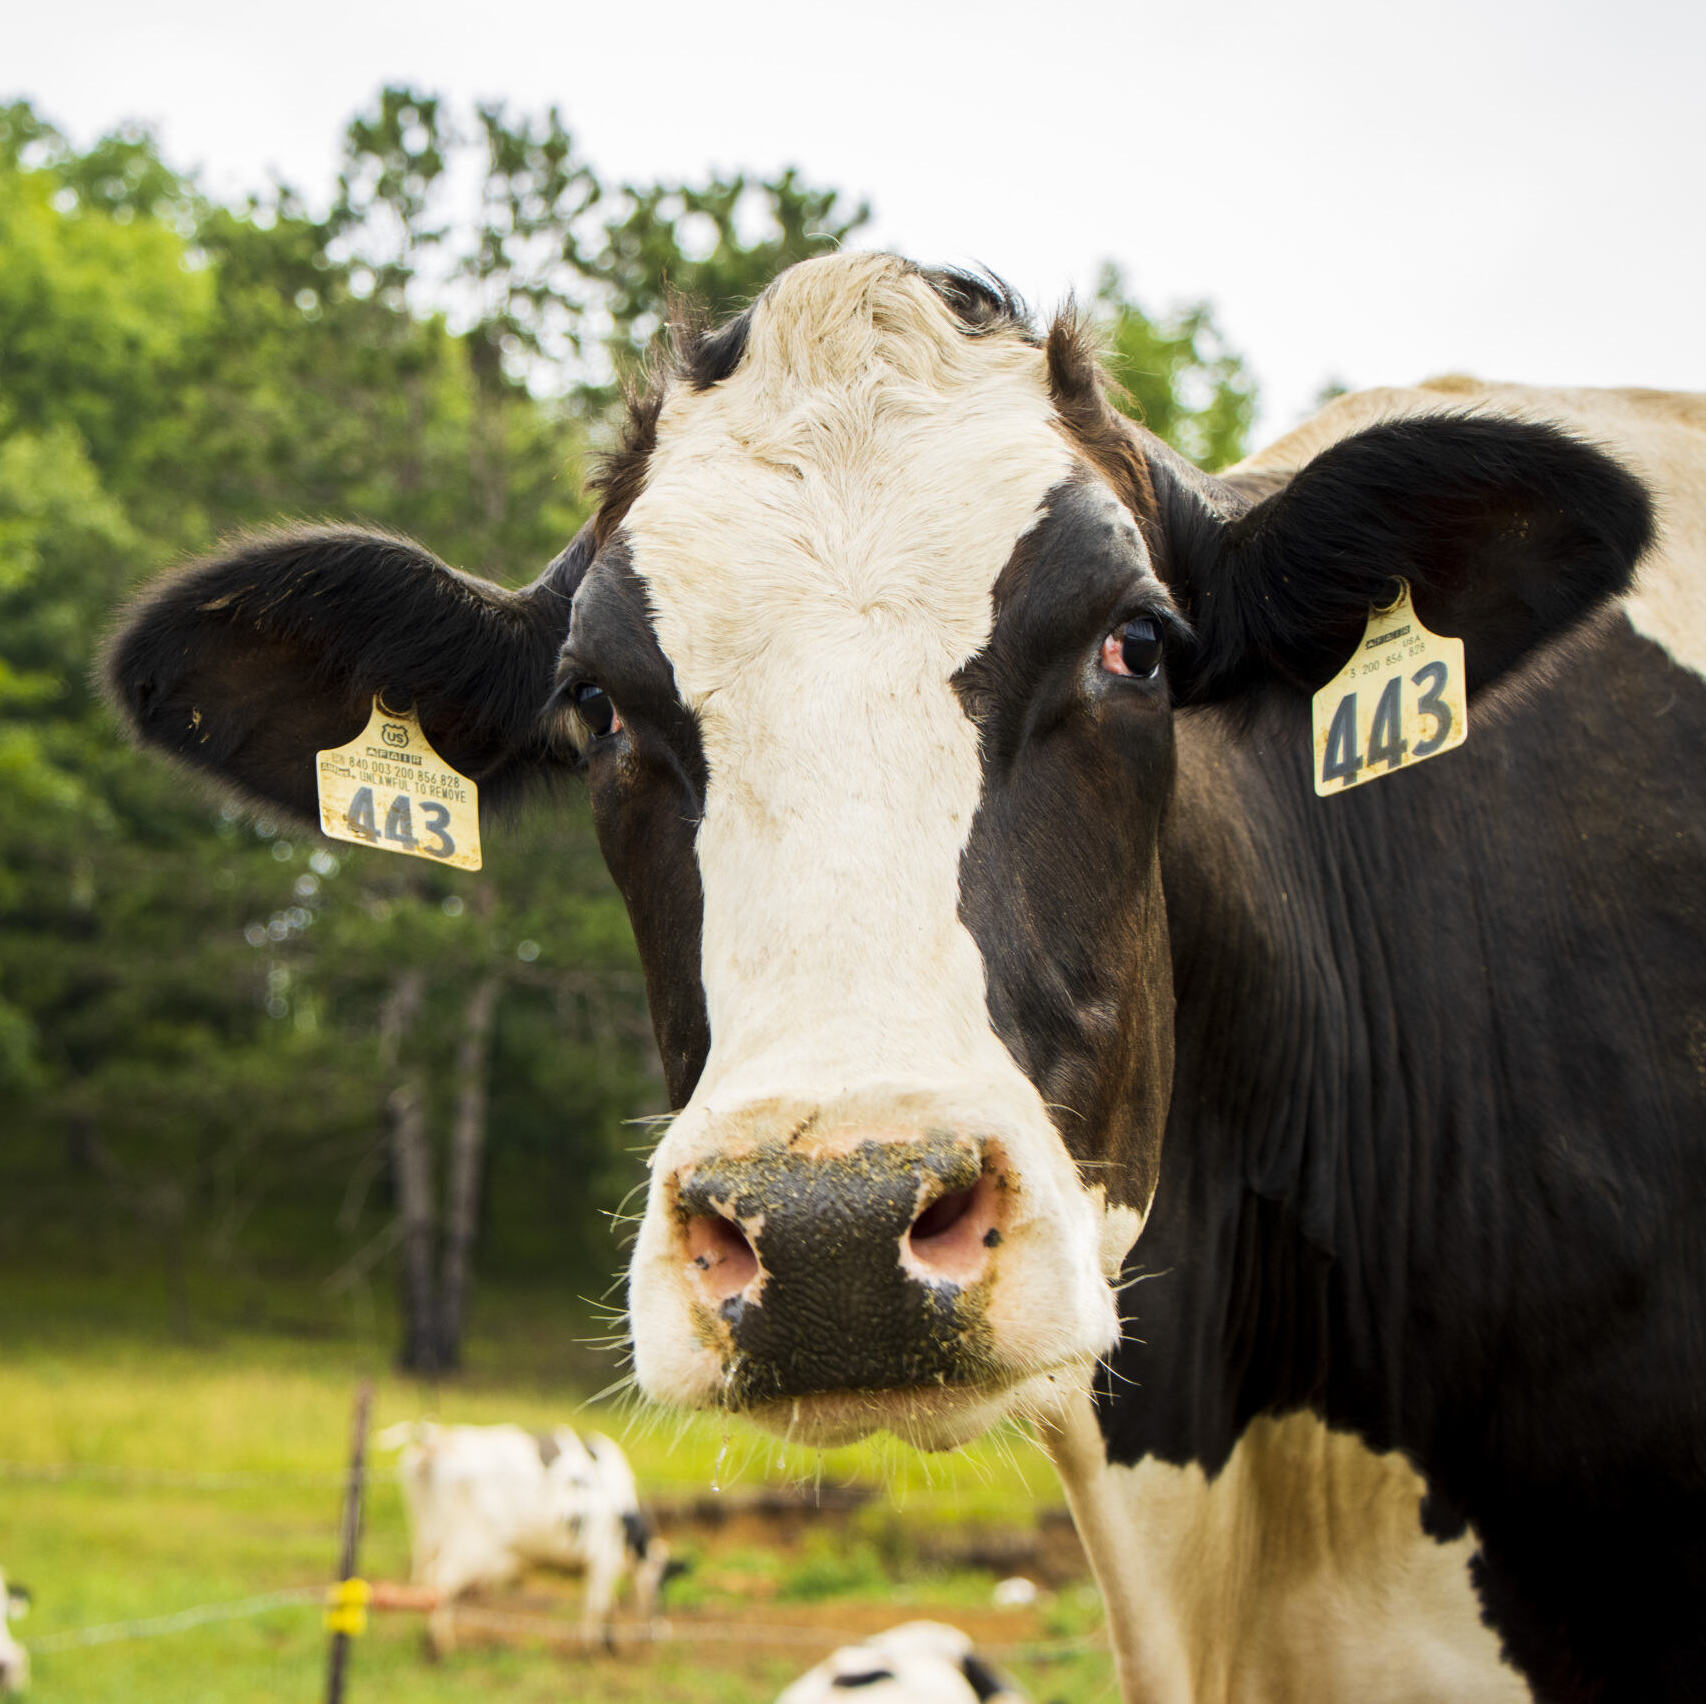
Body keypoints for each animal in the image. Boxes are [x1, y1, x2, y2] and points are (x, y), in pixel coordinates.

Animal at [378, 1421, 679, 1650]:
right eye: (662, 1580)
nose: (657, 1630)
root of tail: (439, 1437)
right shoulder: (605, 1557)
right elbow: (597, 1604)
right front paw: (596, 1648)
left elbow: (604, 1603)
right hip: (473, 1546)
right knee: (439, 1580)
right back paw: (440, 1645)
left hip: (425, 1536)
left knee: (423, 1582)